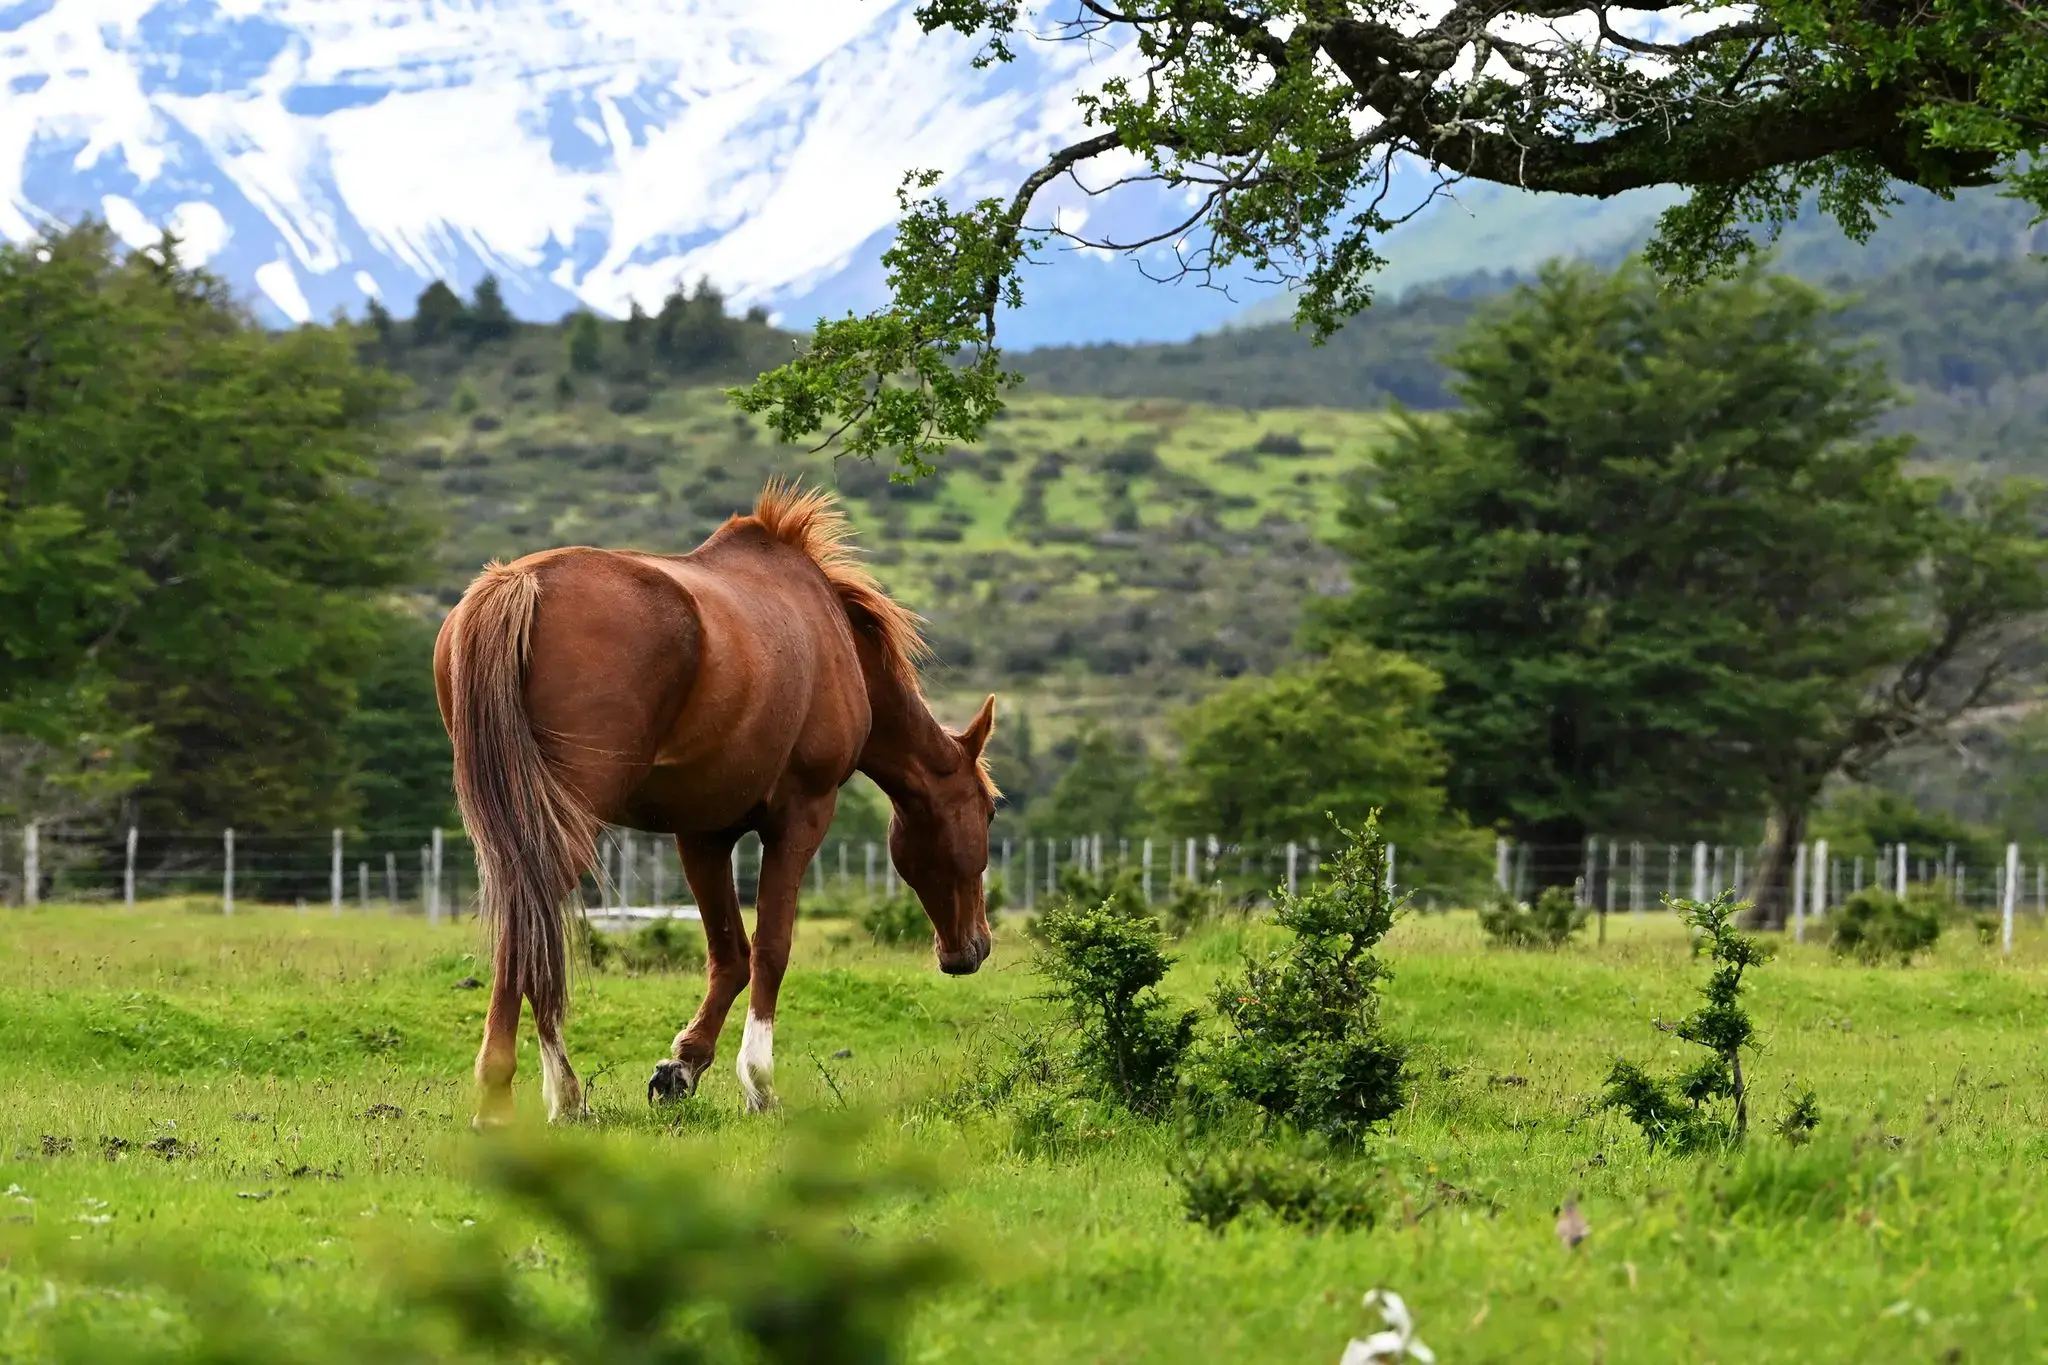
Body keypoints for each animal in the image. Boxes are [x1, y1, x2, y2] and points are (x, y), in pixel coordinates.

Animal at [433, 481, 998, 1125]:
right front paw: (759, 1084)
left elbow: (730, 954)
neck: (835, 640)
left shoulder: (703, 833)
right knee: (530, 928)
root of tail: (517, 584)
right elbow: (772, 948)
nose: (973, 948)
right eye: (989, 812)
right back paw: (515, 1095)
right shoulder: (801, 816)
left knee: (530, 928)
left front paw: (682, 1066)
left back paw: (561, 1096)